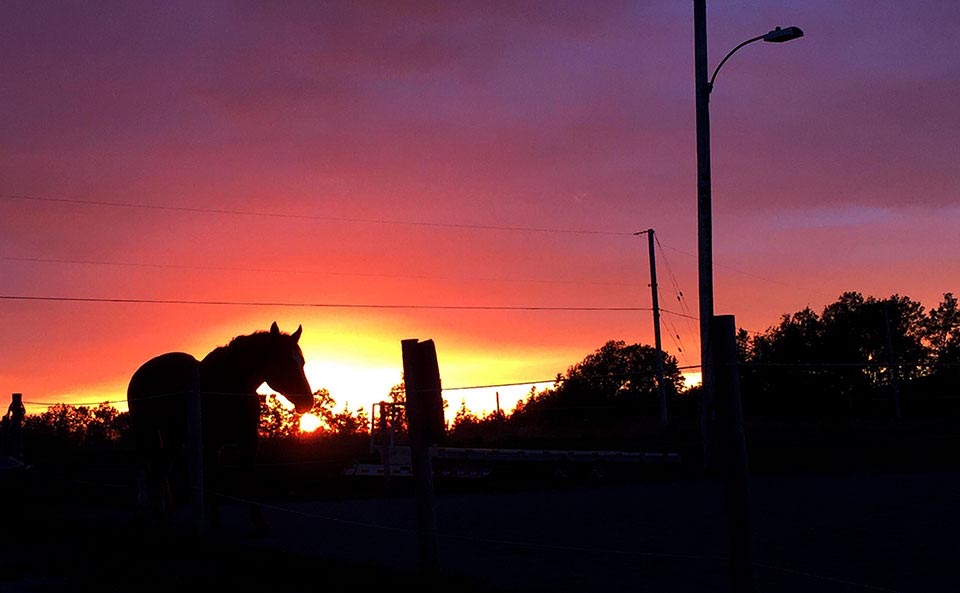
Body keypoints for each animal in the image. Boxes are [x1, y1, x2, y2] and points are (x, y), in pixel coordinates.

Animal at [127, 322, 314, 536]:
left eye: (301, 362)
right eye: (285, 361)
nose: (307, 402)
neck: (229, 388)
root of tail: (141, 373)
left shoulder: (249, 442)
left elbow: (249, 479)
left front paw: (259, 523)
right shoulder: (211, 445)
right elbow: (214, 481)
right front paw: (216, 524)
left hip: (171, 439)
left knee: (161, 469)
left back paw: (163, 517)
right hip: (145, 433)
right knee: (146, 469)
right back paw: (148, 516)